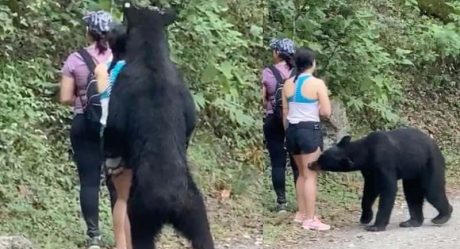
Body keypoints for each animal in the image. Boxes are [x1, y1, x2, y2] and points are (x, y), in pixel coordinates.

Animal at [102, 2, 214, 249]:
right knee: (204, 235)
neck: (151, 57)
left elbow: (114, 129)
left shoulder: (122, 90)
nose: (112, 32)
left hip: (141, 212)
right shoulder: (183, 90)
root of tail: (170, 201)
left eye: (124, 25)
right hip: (194, 208)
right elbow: (191, 121)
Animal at [310, 127, 452, 232]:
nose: (310, 164)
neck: (365, 152)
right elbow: (370, 190)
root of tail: (435, 145)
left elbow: (388, 189)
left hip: (429, 163)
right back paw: (411, 222)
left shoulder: (384, 162)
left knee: (432, 190)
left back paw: (442, 216)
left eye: (322, 160)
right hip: (413, 171)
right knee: (412, 194)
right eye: (321, 155)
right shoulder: (369, 170)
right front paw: (365, 218)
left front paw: (375, 226)